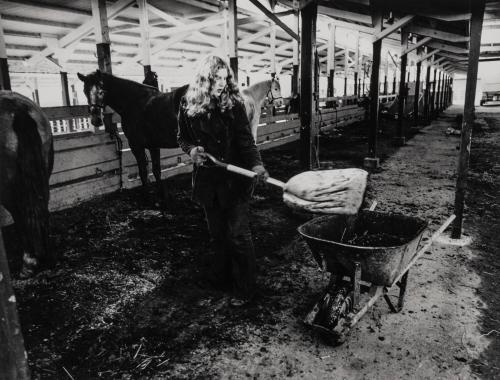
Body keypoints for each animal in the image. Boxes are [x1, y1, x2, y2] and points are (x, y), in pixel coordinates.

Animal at [78, 70, 188, 199]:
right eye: (85, 91)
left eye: (102, 91)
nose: (96, 120)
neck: (134, 102)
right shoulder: (153, 146)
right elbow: (156, 170)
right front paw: (162, 195)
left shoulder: (136, 145)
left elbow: (143, 172)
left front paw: (147, 196)